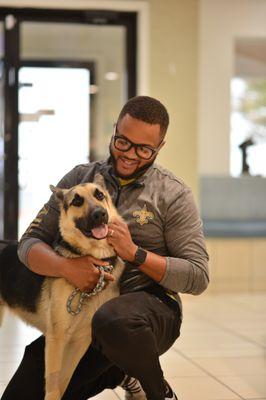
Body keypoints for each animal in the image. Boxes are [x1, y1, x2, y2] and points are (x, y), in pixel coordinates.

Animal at [0, 175, 124, 400]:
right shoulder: (56, 340)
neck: (95, 261)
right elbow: (53, 385)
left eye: (99, 195)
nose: (100, 214)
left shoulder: (80, 341)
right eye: (77, 201)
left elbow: (64, 382)